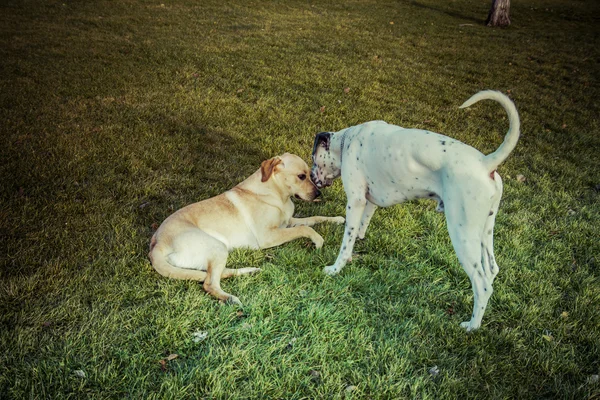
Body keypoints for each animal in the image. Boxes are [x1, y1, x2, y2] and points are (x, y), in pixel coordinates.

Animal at [149, 152, 344, 304]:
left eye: (310, 175)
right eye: (301, 176)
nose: (319, 194)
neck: (276, 194)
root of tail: (157, 244)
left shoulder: (288, 221)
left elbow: (314, 219)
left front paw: (337, 219)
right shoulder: (268, 236)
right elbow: (305, 229)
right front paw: (318, 240)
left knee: (217, 274)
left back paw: (250, 271)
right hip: (217, 247)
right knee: (209, 283)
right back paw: (230, 298)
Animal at [310, 90, 520, 332]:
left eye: (313, 158)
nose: (311, 178)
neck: (347, 142)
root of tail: (486, 163)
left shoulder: (355, 201)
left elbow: (346, 241)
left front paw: (336, 268)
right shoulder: (368, 201)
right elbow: (362, 227)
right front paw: (359, 240)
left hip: (463, 235)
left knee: (482, 283)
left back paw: (472, 326)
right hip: (485, 231)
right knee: (492, 269)